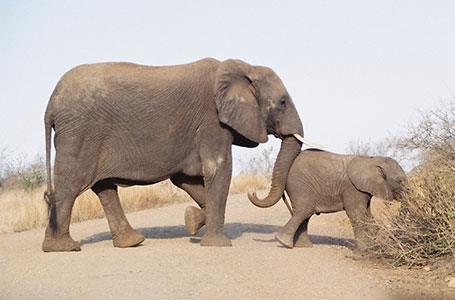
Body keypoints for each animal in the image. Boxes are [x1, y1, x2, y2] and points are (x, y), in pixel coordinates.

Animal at [42, 58, 308, 251]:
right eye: (283, 102)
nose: (253, 192)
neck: (244, 68)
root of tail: (50, 104)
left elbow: (186, 180)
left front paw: (192, 220)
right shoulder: (212, 122)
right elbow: (218, 169)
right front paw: (217, 245)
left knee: (104, 188)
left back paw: (131, 242)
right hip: (79, 133)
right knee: (71, 186)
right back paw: (64, 248)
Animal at [249, 149, 406, 250]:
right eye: (400, 181)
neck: (372, 159)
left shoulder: (362, 190)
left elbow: (367, 214)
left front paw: (373, 247)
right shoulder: (352, 189)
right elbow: (356, 214)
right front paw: (364, 251)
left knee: (304, 213)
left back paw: (302, 246)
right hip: (299, 184)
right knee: (304, 211)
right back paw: (284, 243)